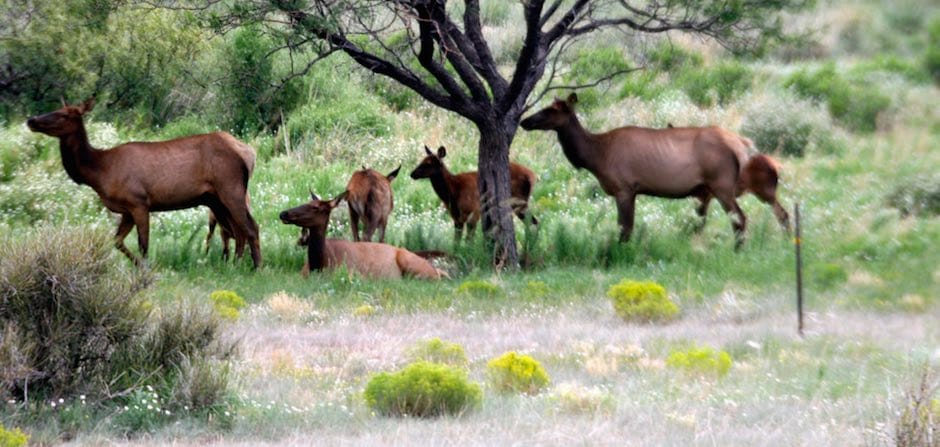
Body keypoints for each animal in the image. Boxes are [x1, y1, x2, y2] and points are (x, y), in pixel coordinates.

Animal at [26, 98, 260, 268]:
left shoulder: (139, 202)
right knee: (236, 231)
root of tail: (248, 154)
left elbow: (144, 244)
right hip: (215, 200)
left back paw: (255, 267)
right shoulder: (126, 210)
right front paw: (138, 265)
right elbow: (117, 241)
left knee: (250, 227)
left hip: (231, 189)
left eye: (64, 114)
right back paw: (235, 265)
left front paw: (145, 269)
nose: (31, 119)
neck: (99, 172)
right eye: (56, 109)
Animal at [280, 192, 444, 280]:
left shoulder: (353, 273)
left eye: (315, 207)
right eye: (306, 201)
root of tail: (436, 271)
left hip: (413, 264)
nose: (283, 213)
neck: (319, 264)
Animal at [516, 94, 788, 248]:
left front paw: (619, 254)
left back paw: (738, 250)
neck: (596, 155)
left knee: (740, 218)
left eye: (551, 111)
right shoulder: (634, 191)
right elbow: (628, 227)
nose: (524, 121)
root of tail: (741, 144)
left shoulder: (624, 188)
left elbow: (624, 228)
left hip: (722, 185)